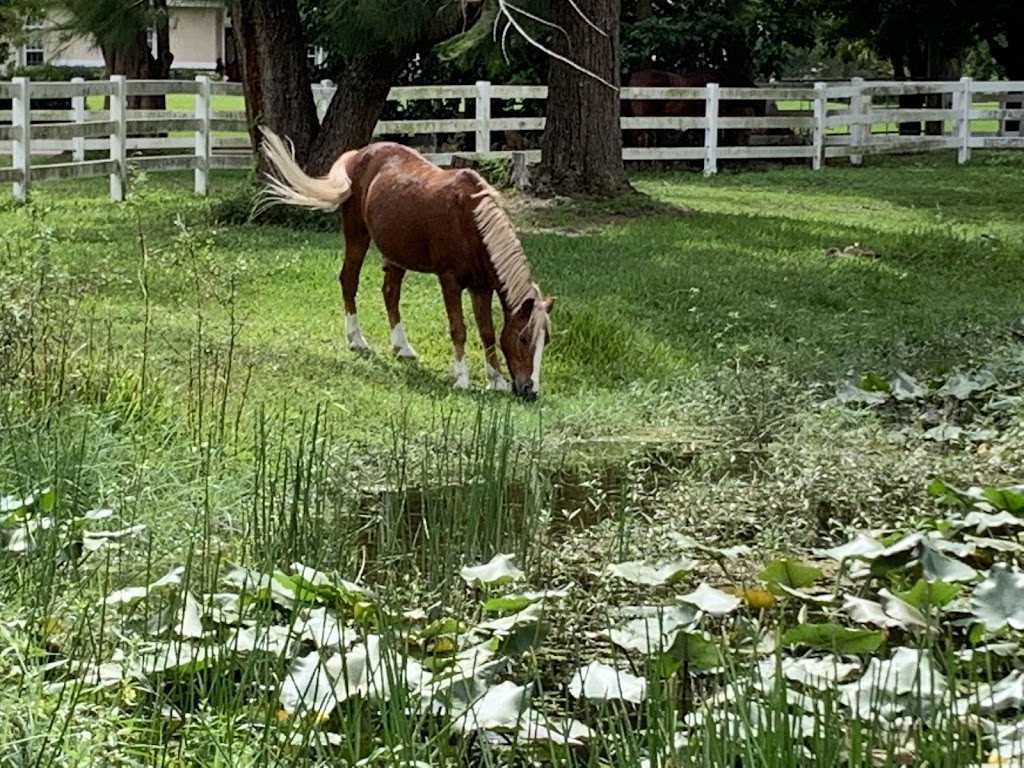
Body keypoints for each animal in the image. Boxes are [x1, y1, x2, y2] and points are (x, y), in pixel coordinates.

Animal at [260, 128, 557, 399]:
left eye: (545, 341)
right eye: (524, 338)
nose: (530, 390)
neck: (470, 221)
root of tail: (357, 155)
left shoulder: (481, 287)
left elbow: (487, 332)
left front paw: (495, 381)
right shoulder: (450, 281)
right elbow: (458, 329)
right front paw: (462, 379)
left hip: (396, 254)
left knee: (390, 293)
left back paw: (402, 347)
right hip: (357, 236)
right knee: (349, 281)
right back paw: (357, 340)